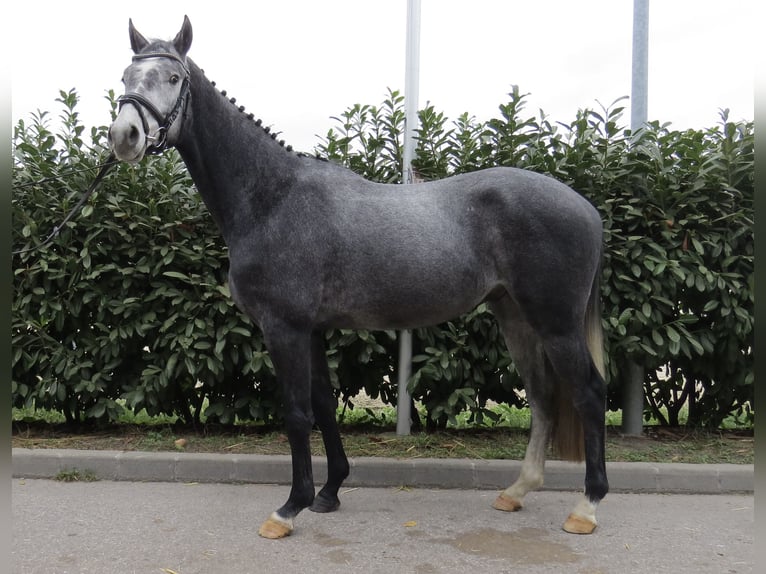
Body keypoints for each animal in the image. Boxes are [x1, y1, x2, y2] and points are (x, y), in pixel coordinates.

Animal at [108, 15, 609, 539]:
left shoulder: (284, 329)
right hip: (516, 318)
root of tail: (586, 208)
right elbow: (324, 407)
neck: (273, 197)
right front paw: (328, 493)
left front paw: (289, 508)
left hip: (556, 324)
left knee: (588, 394)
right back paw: (518, 491)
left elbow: (297, 413)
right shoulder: (311, 331)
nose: (124, 135)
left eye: (173, 78)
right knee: (543, 396)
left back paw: (586, 506)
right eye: (125, 76)